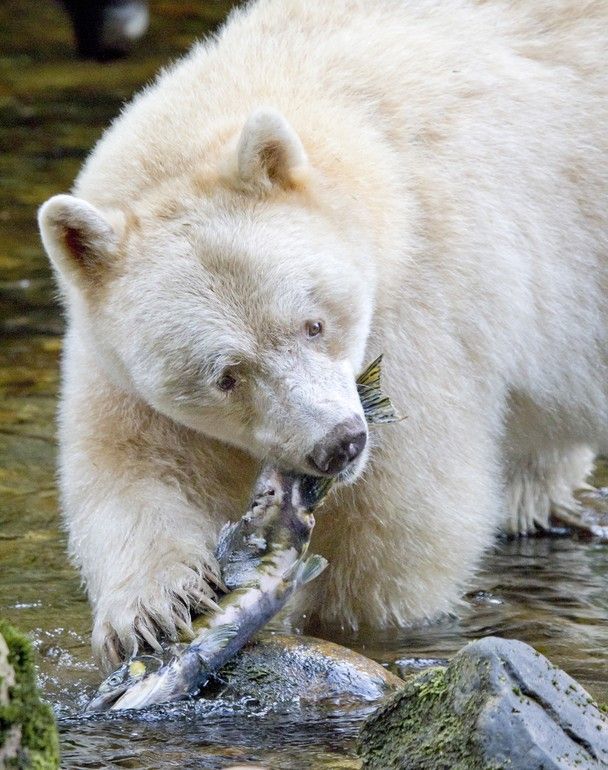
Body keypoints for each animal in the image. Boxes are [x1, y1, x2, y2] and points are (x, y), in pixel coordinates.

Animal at [38, 0, 608, 664]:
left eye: (315, 324)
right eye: (225, 376)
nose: (339, 444)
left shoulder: (428, 294)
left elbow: (405, 513)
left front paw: (345, 624)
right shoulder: (109, 352)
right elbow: (131, 461)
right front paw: (156, 611)